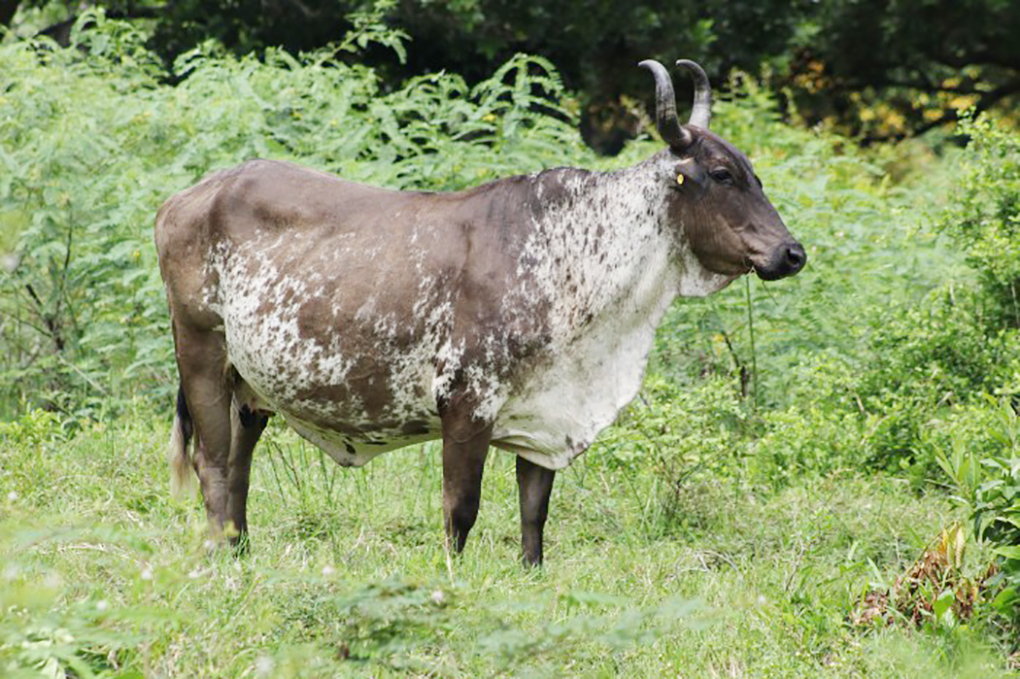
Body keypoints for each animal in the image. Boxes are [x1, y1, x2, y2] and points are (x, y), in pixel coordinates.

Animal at [155, 59, 803, 566]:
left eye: (755, 175)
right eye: (721, 175)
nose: (791, 252)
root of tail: (190, 196)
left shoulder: (545, 415)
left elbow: (534, 514)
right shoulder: (466, 407)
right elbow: (460, 510)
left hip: (251, 390)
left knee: (238, 466)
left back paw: (240, 550)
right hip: (202, 354)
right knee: (214, 464)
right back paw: (222, 558)